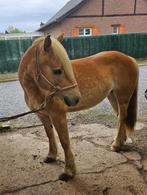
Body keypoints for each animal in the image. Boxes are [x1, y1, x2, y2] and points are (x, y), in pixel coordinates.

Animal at [18, 33, 138, 181]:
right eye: (57, 71)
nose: (76, 98)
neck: (38, 90)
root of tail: (129, 58)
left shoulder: (58, 116)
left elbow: (64, 141)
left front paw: (69, 172)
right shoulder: (43, 116)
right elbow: (49, 135)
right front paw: (51, 156)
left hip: (122, 97)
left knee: (122, 117)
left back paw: (116, 144)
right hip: (112, 96)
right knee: (120, 117)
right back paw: (120, 142)